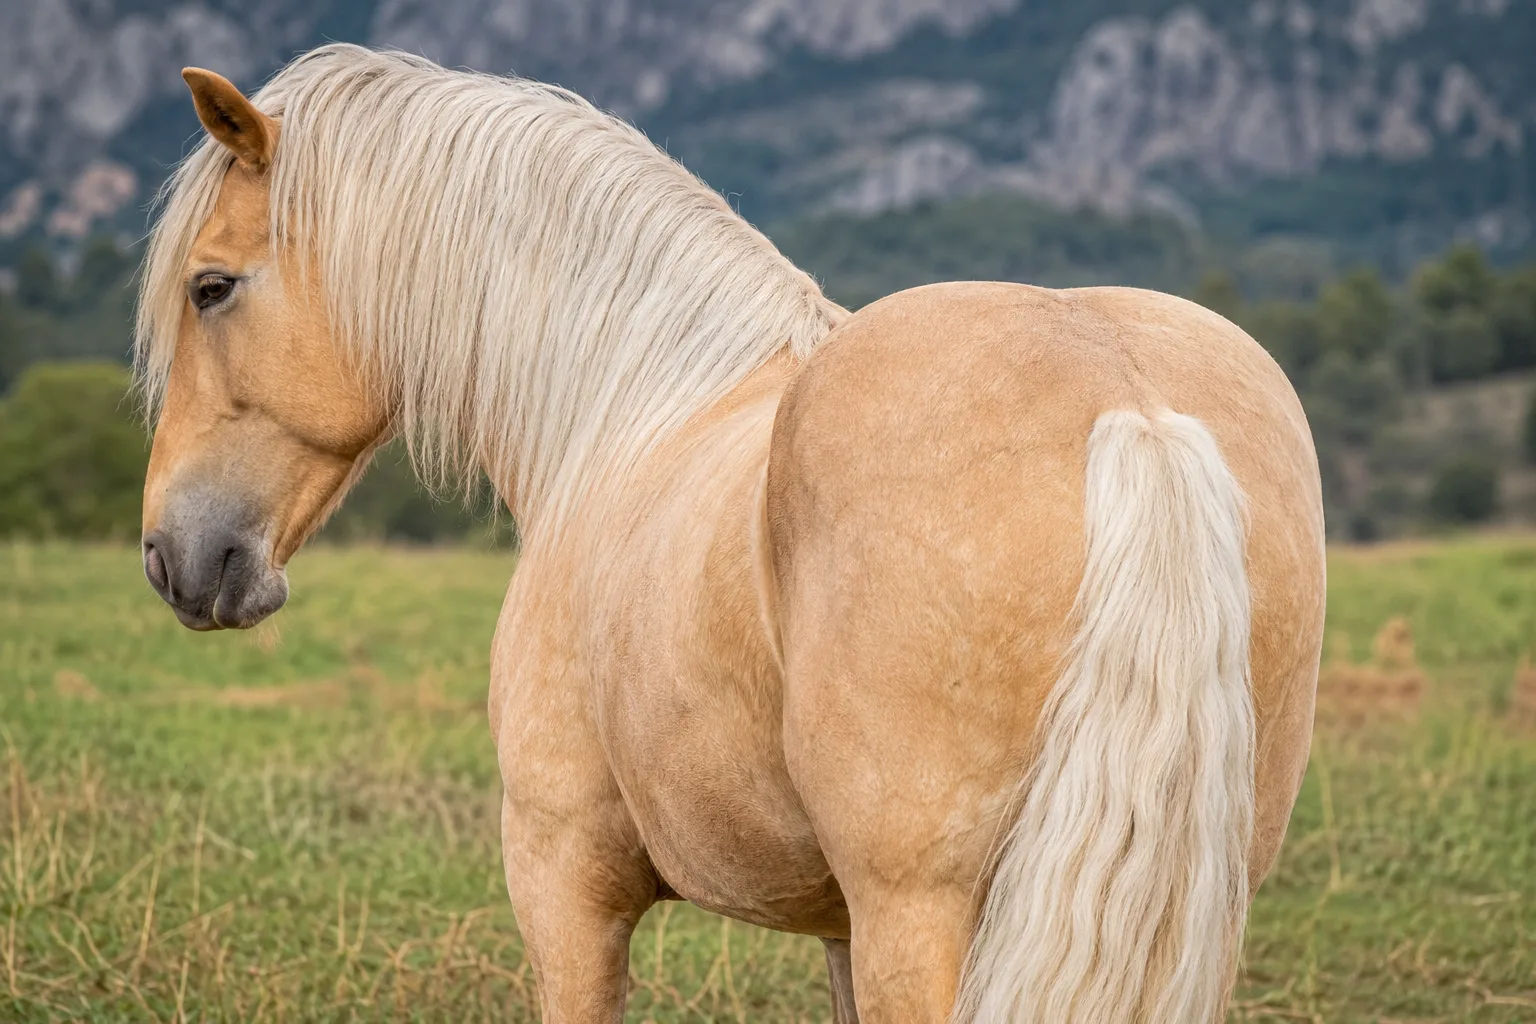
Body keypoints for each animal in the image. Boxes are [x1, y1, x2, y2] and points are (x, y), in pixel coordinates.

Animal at [135, 44, 1324, 1022]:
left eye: (211, 288)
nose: (171, 556)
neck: (624, 410)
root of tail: (1131, 404)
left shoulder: (563, 876)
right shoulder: (840, 929)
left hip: (923, 914)